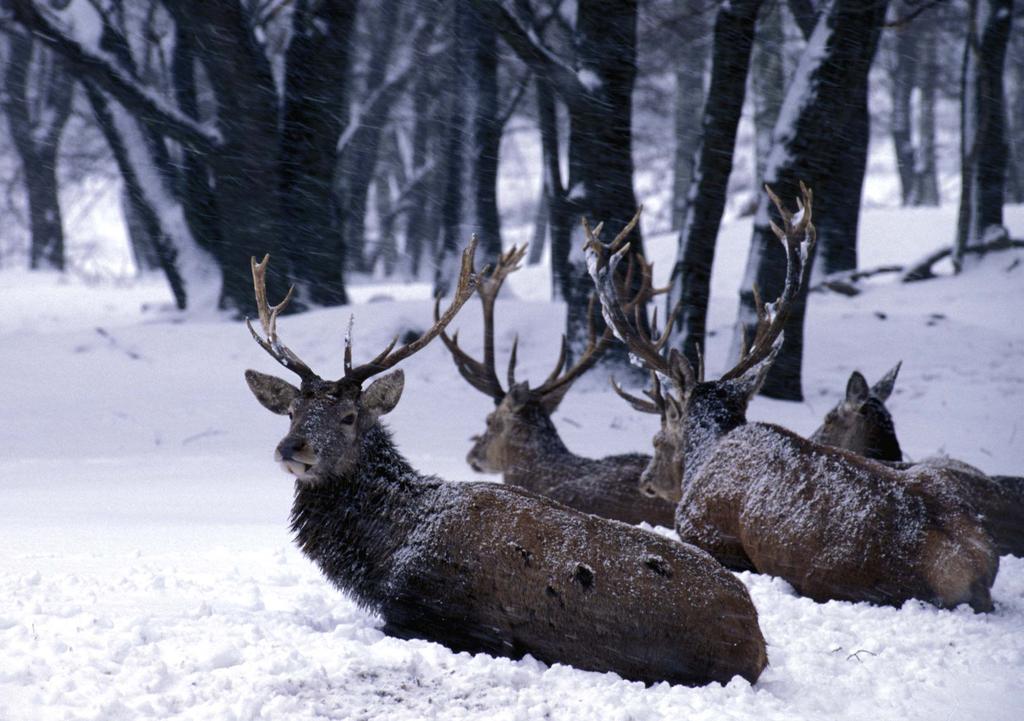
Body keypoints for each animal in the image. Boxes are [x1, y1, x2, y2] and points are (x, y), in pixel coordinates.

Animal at [589, 183, 995, 610]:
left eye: (658, 438)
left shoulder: (703, 528)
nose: (646, 479)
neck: (703, 458)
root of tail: (971, 565)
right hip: (934, 476)